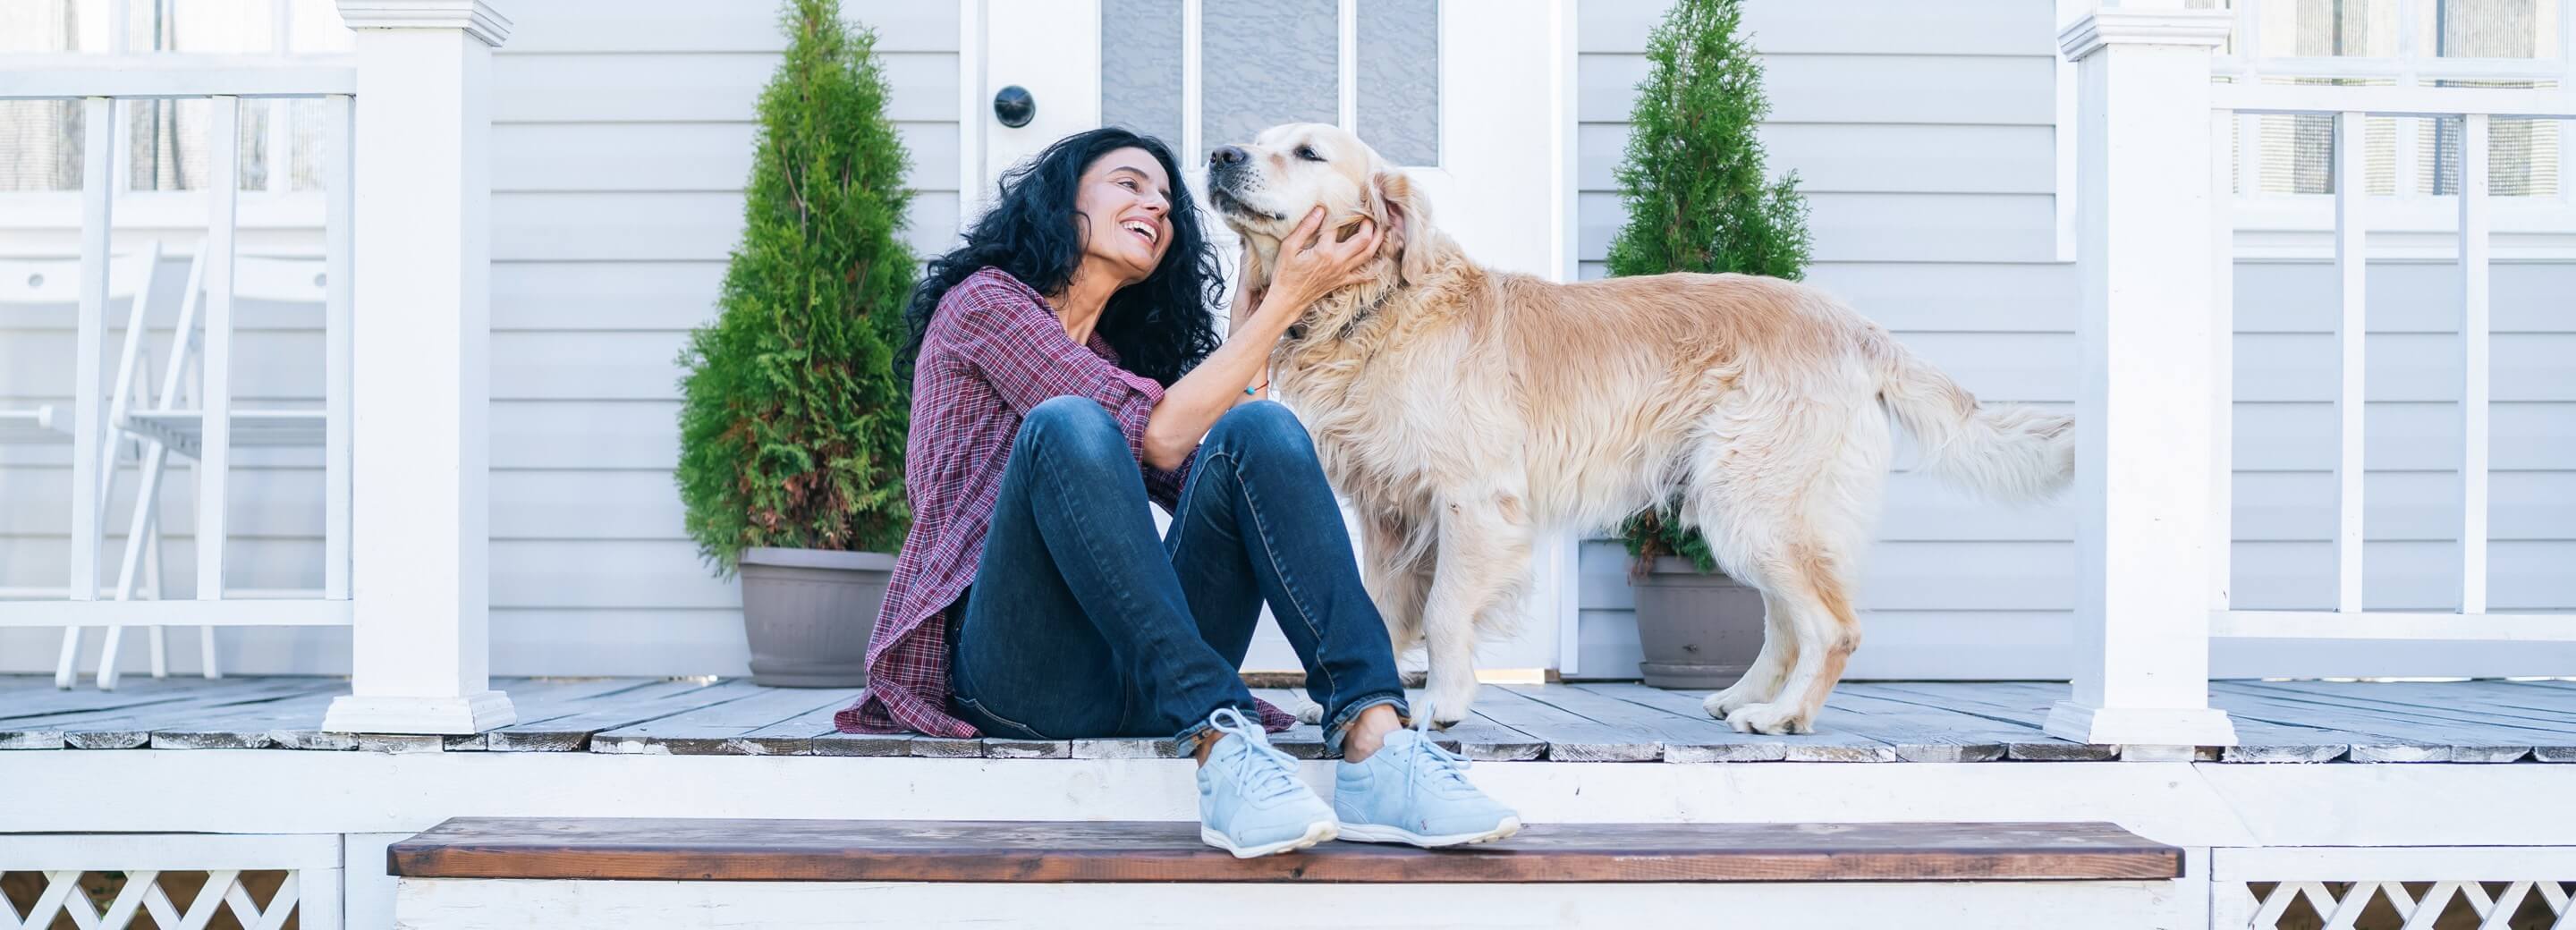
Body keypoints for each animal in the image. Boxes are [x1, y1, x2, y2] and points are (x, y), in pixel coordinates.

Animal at [1205, 124, 2071, 731]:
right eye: (1259, 138)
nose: (1218, 154)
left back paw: (1783, 716)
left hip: (1753, 501)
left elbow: (1448, 609)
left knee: (1832, 627)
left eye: (1306, 151)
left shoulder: (1474, 503)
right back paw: (1741, 700)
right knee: (1787, 623)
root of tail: (1853, 323)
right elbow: (1377, 611)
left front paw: (1443, 705)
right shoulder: (1389, 515)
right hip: (1745, 507)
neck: (1371, 309)